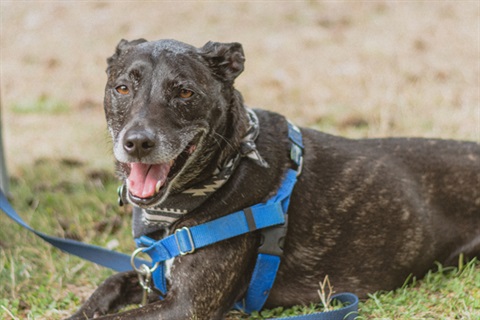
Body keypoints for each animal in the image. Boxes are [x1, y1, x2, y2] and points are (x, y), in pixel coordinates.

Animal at [67, 38, 480, 318]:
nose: (137, 142)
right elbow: (107, 286)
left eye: (184, 92)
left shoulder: (186, 305)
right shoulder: (152, 277)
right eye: (122, 87)